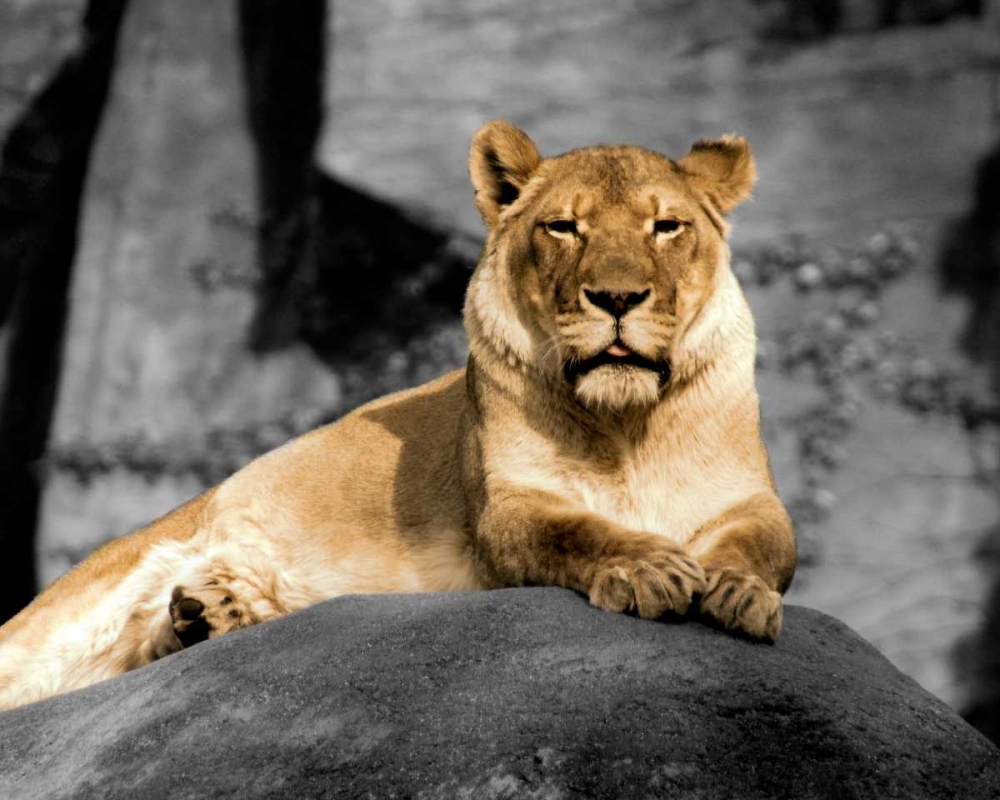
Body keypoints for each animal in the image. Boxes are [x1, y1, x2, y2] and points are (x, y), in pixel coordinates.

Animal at [0, 121, 795, 710]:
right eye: (564, 228)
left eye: (667, 226)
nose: (618, 297)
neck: (626, 423)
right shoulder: (509, 506)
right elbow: (579, 531)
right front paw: (650, 570)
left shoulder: (753, 500)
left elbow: (763, 550)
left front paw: (737, 594)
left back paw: (205, 617)